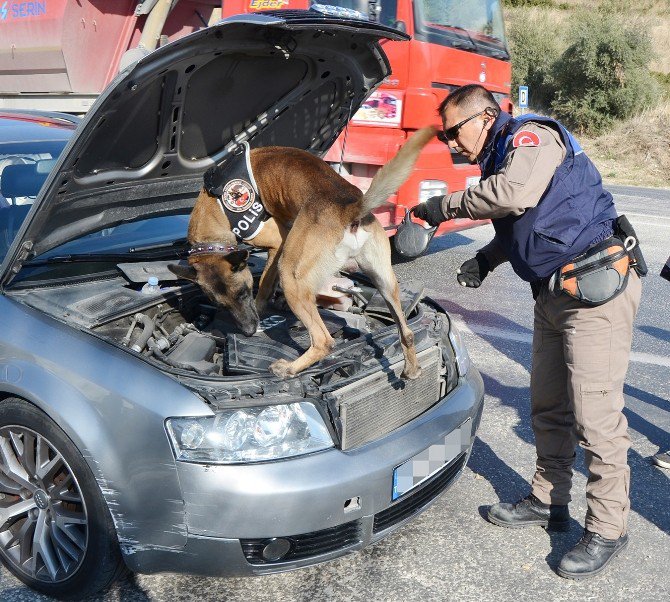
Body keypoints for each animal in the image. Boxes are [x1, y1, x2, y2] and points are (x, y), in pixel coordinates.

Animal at [171, 127, 438, 378]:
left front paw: (263, 306)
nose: (248, 331)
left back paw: (289, 368)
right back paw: (411, 368)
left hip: (292, 275)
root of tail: (350, 208)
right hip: (384, 282)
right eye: (219, 304)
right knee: (406, 332)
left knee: (323, 341)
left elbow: (265, 286)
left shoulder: (278, 243)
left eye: (244, 293)